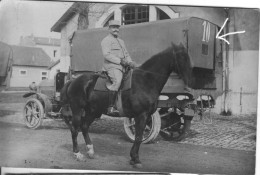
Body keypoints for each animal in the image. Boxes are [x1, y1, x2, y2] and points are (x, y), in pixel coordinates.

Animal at [60, 42, 192, 168]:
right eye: (181, 57)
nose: (190, 79)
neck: (145, 81)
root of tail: (73, 81)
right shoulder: (141, 115)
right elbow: (138, 137)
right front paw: (136, 159)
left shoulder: (145, 116)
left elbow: (138, 137)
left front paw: (133, 158)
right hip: (77, 110)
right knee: (75, 130)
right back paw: (78, 154)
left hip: (92, 111)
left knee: (84, 127)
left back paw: (90, 151)